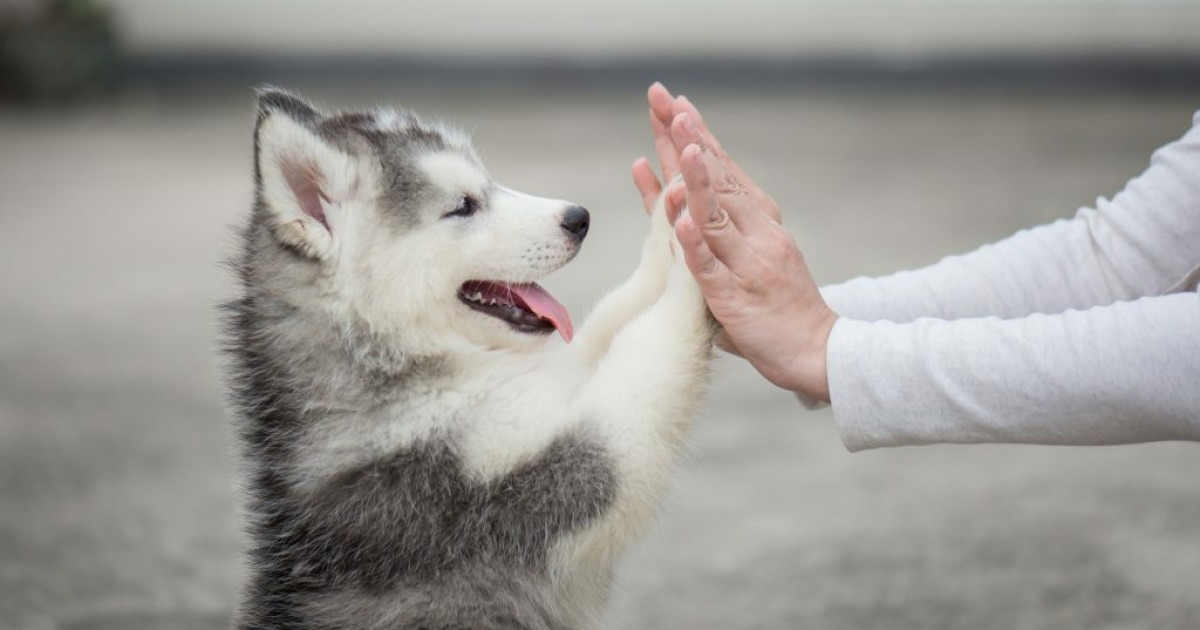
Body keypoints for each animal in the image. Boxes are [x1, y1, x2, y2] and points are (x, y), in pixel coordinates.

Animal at [223, 89, 710, 628]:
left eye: (488, 183)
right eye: (463, 207)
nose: (579, 218)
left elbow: (610, 317)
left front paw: (671, 221)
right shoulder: (534, 480)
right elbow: (647, 349)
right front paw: (698, 254)